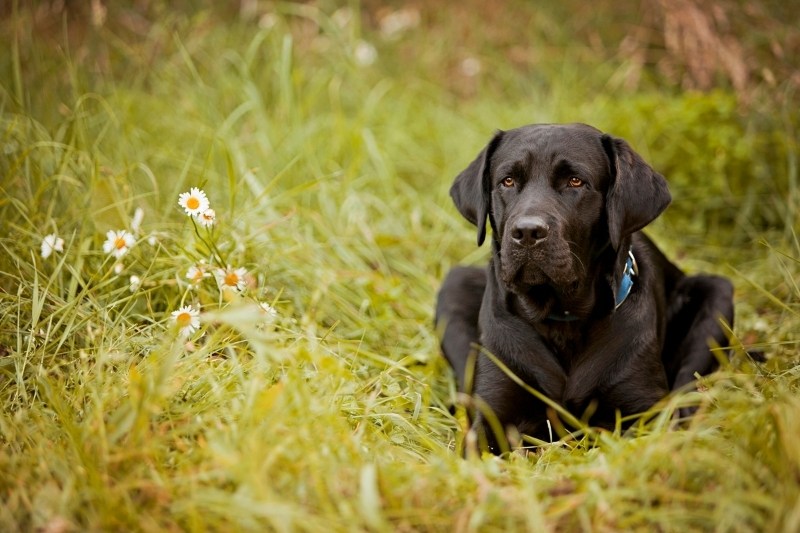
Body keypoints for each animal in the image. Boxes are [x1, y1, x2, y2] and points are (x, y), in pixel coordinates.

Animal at [434, 123, 736, 454]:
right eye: (508, 181)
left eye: (575, 181)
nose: (527, 232)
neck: (562, 319)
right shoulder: (492, 419)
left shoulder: (643, 412)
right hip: (454, 288)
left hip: (717, 297)